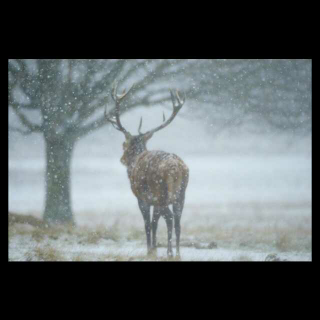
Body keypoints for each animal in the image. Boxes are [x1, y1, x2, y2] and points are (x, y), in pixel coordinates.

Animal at [105, 82, 189, 258]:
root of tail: (176, 168)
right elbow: (155, 222)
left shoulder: (142, 198)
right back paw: (178, 253)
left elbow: (147, 224)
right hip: (181, 194)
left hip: (161, 192)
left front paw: (150, 250)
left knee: (169, 218)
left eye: (124, 144)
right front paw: (155, 249)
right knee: (178, 220)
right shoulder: (154, 201)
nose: (122, 159)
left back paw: (170, 252)